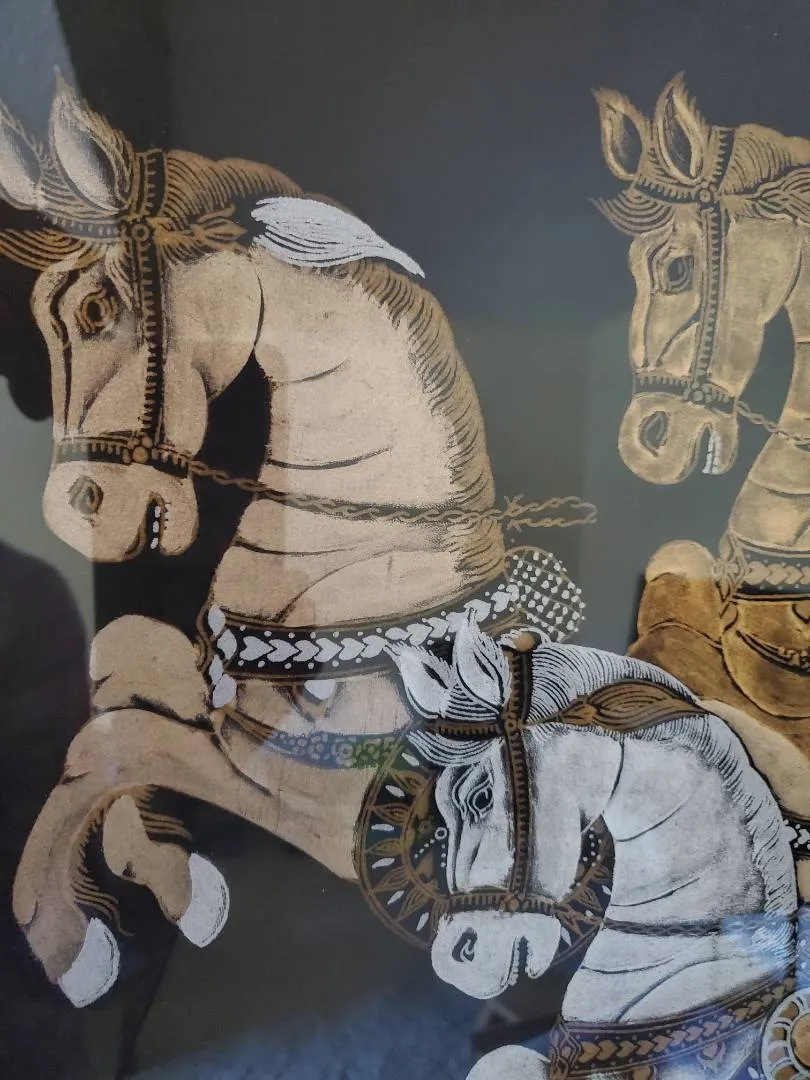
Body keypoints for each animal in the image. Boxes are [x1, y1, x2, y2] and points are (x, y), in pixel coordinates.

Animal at [0, 80, 588, 1008]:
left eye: (96, 309)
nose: (75, 509)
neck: (368, 590)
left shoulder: (304, 809)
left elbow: (113, 745)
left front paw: (71, 946)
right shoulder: (222, 712)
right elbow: (114, 666)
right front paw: (181, 885)